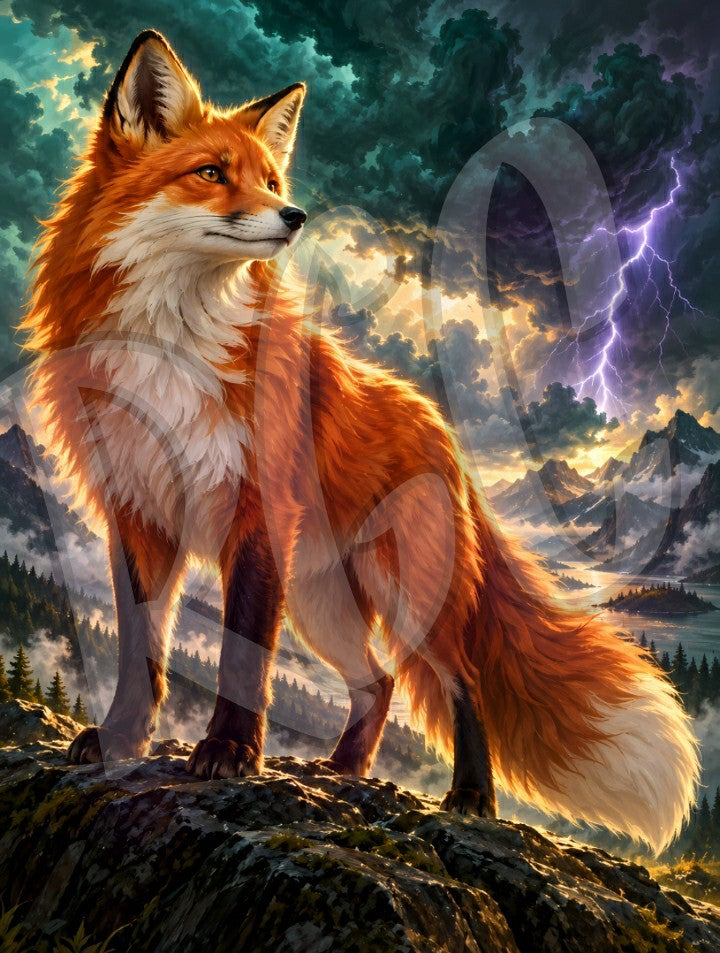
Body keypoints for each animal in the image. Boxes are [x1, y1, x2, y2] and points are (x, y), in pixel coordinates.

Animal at [22, 30, 698, 853]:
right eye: (211, 173)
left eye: (271, 179)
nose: (295, 214)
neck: (174, 345)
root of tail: (437, 422)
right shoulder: (137, 508)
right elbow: (140, 650)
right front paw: (122, 740)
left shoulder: (258, 513)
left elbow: (241, 656)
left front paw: (229, 752)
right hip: (322, 605)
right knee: (377, 683)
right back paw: (340, 771)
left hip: (404, 587)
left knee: (460, 679)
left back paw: (471, 798)